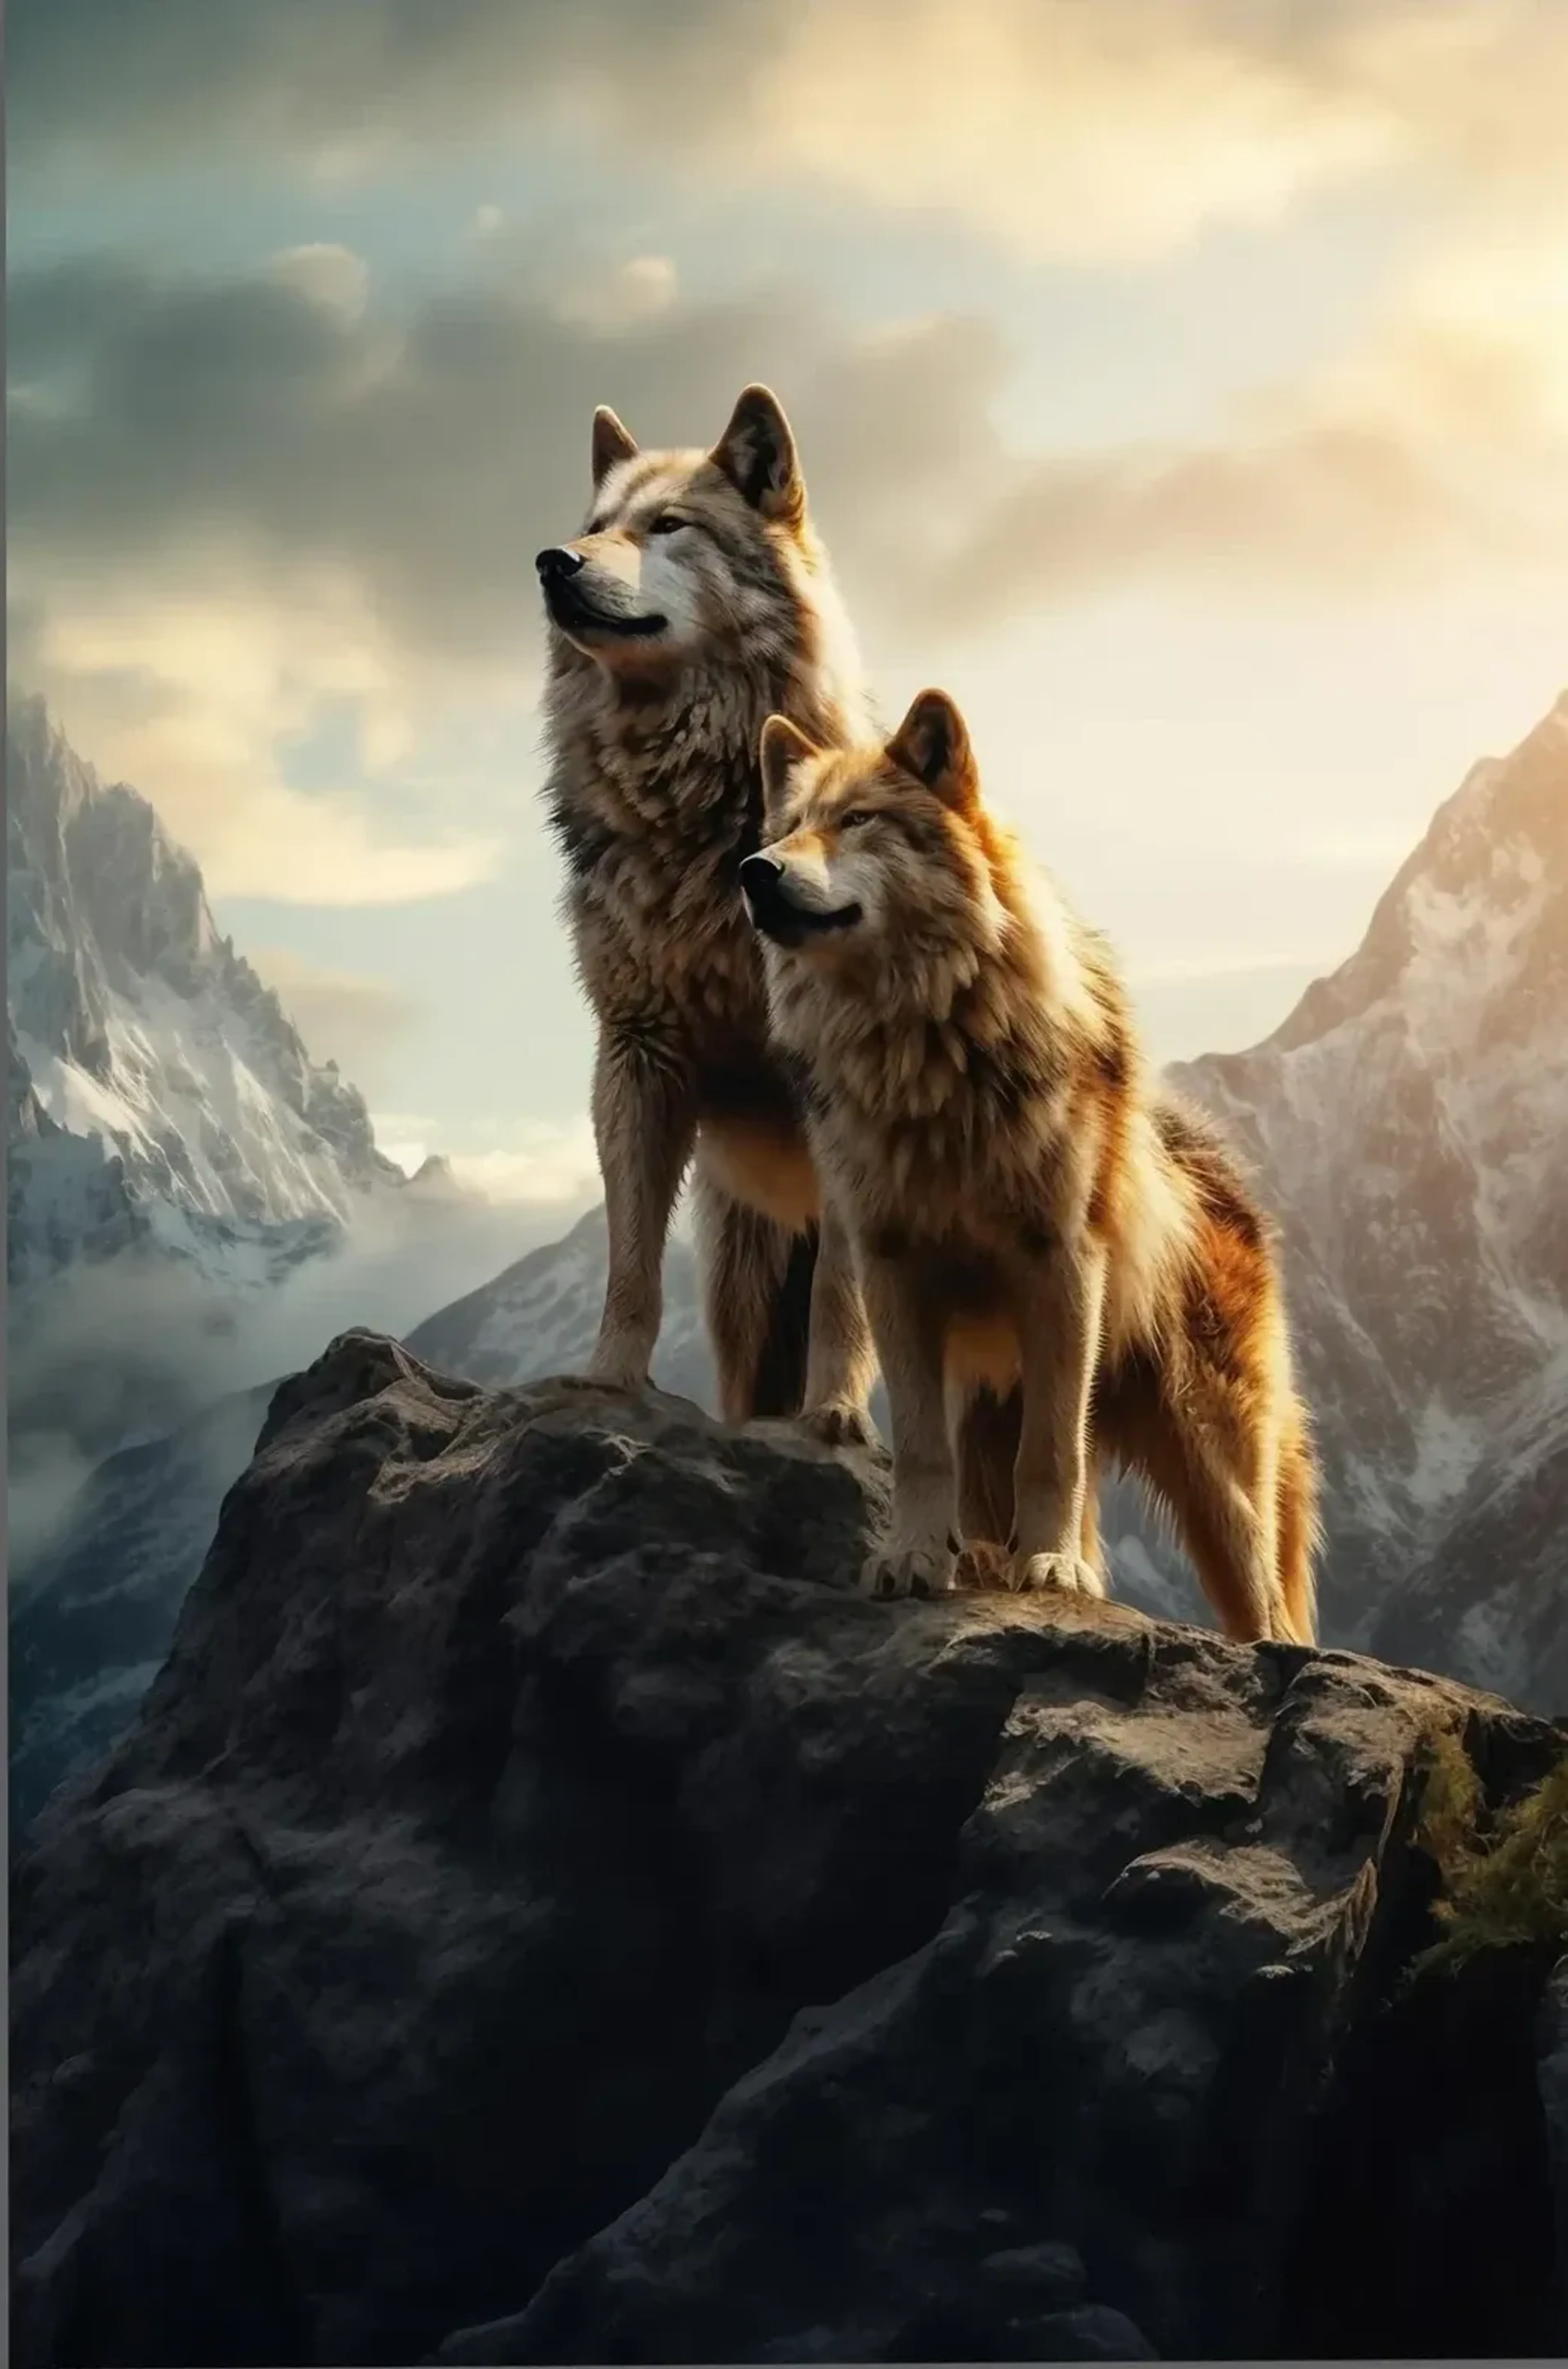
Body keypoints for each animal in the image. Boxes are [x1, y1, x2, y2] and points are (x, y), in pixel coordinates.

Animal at [535, 383, 878, 1435]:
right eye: (593, 528)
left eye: (669, 527)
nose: (551, 563)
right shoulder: (637, 1054)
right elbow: (629, 1268)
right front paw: (606, 1383)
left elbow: (845, 1292)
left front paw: (835, 1416)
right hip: (740, 1283)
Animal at [741, 686, 1319, 1644]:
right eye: (789, 827)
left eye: (858, 821)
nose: (754, 870)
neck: (928, 1052)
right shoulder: (891, 1268)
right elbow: (920, 1450)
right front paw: (913, 1557)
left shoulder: (1062, 1265)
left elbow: (1052, 1453)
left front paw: (1050, 1570)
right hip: (996, 1413)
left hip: (1216, 1479)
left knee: (1268, 1612)